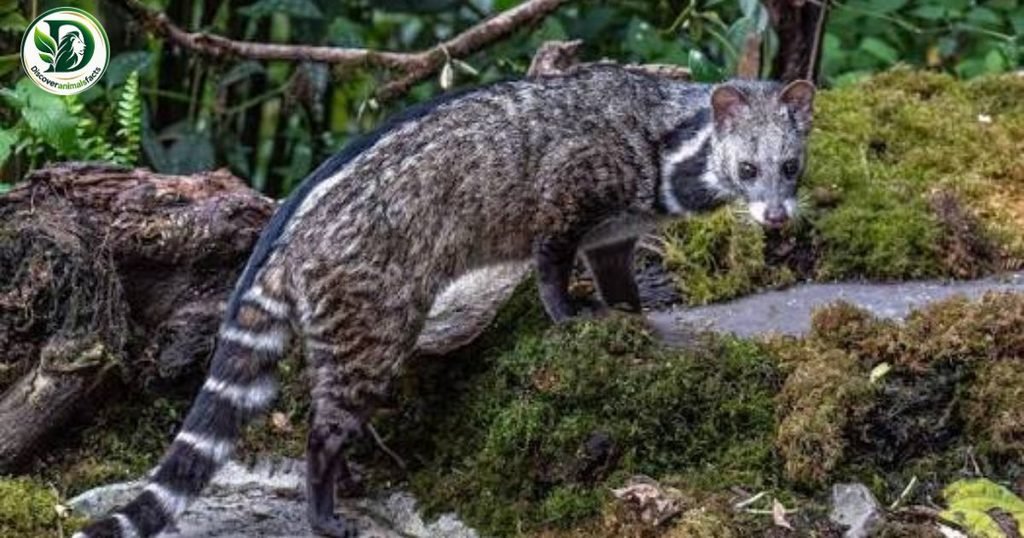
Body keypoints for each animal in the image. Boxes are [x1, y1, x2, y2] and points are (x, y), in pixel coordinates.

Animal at [75, 64, 814, 537]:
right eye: (748, 168)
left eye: (791, 166)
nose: (777, 218)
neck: (675, 138)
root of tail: (285, 244)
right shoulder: (568, 192)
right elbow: (551, 260)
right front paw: (566, 313)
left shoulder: (616, 231)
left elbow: (615, 275)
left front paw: (631, 313)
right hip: (372, 314)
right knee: (328, 419)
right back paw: (323, 500)